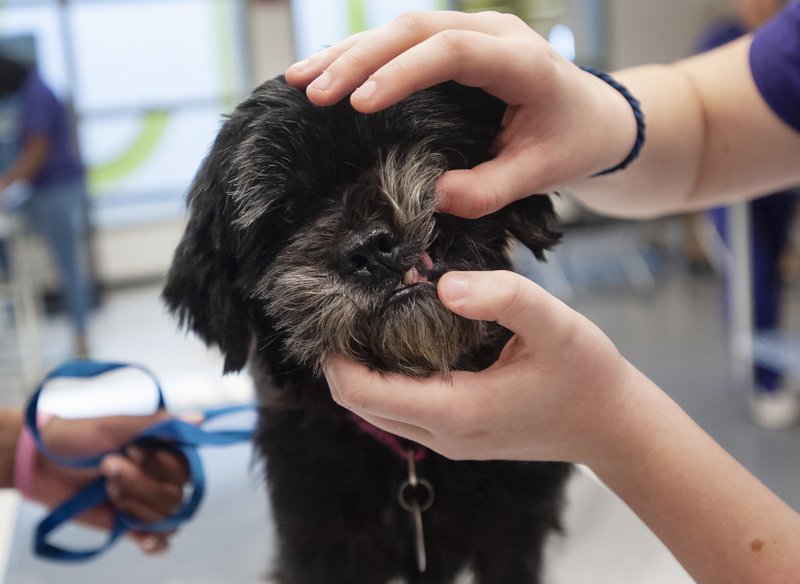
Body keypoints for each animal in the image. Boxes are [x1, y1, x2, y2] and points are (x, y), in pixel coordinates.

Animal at [162, 77, 572, 584]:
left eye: (397, 145)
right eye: (286, 212)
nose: (370, 249)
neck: (413, 455)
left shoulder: (515, 530)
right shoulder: (320, 549)